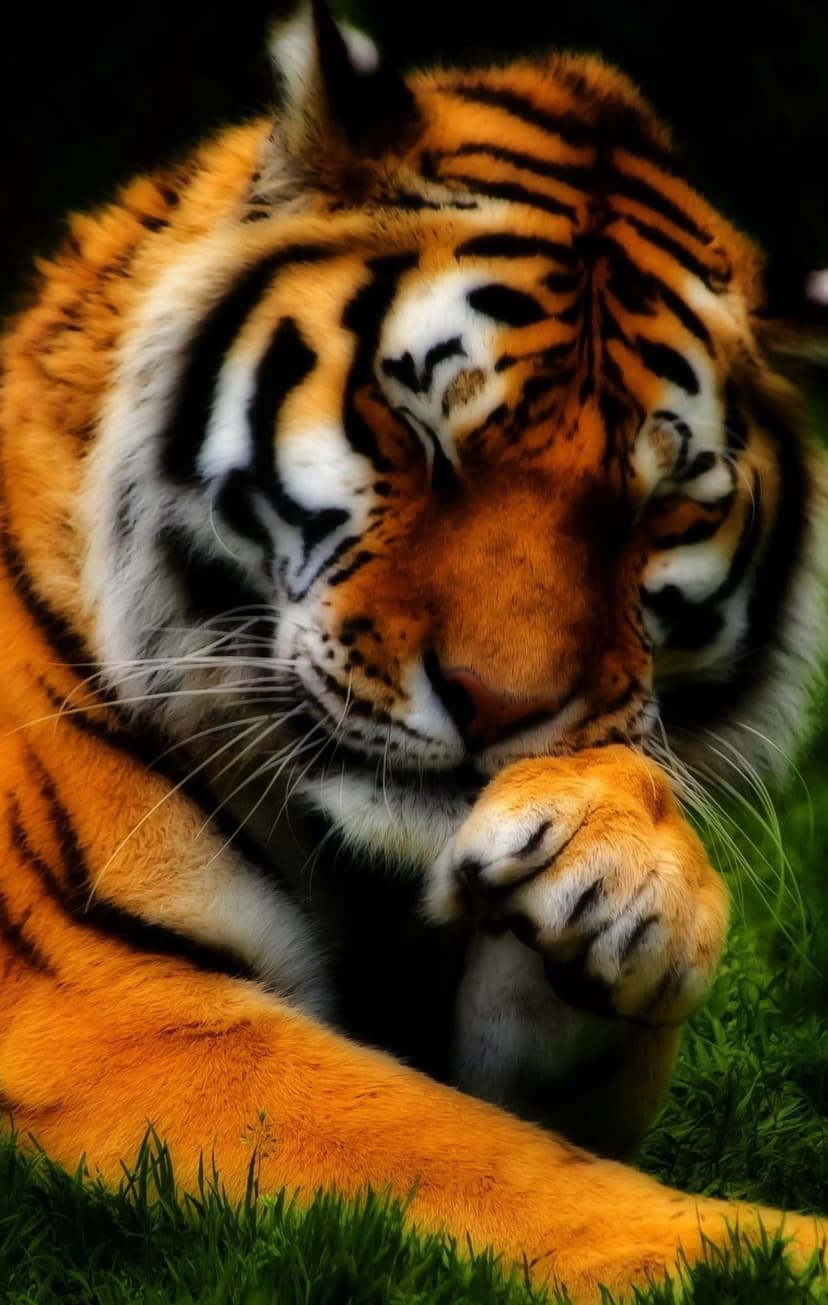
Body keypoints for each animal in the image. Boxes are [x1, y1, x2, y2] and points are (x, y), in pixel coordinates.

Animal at [0, 1, 826, 1299]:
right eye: (419, 434)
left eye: (654, 512)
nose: (497, 709)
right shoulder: (98, 1000)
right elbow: (479, 1163)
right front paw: (778, 1256)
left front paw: (622, 867)